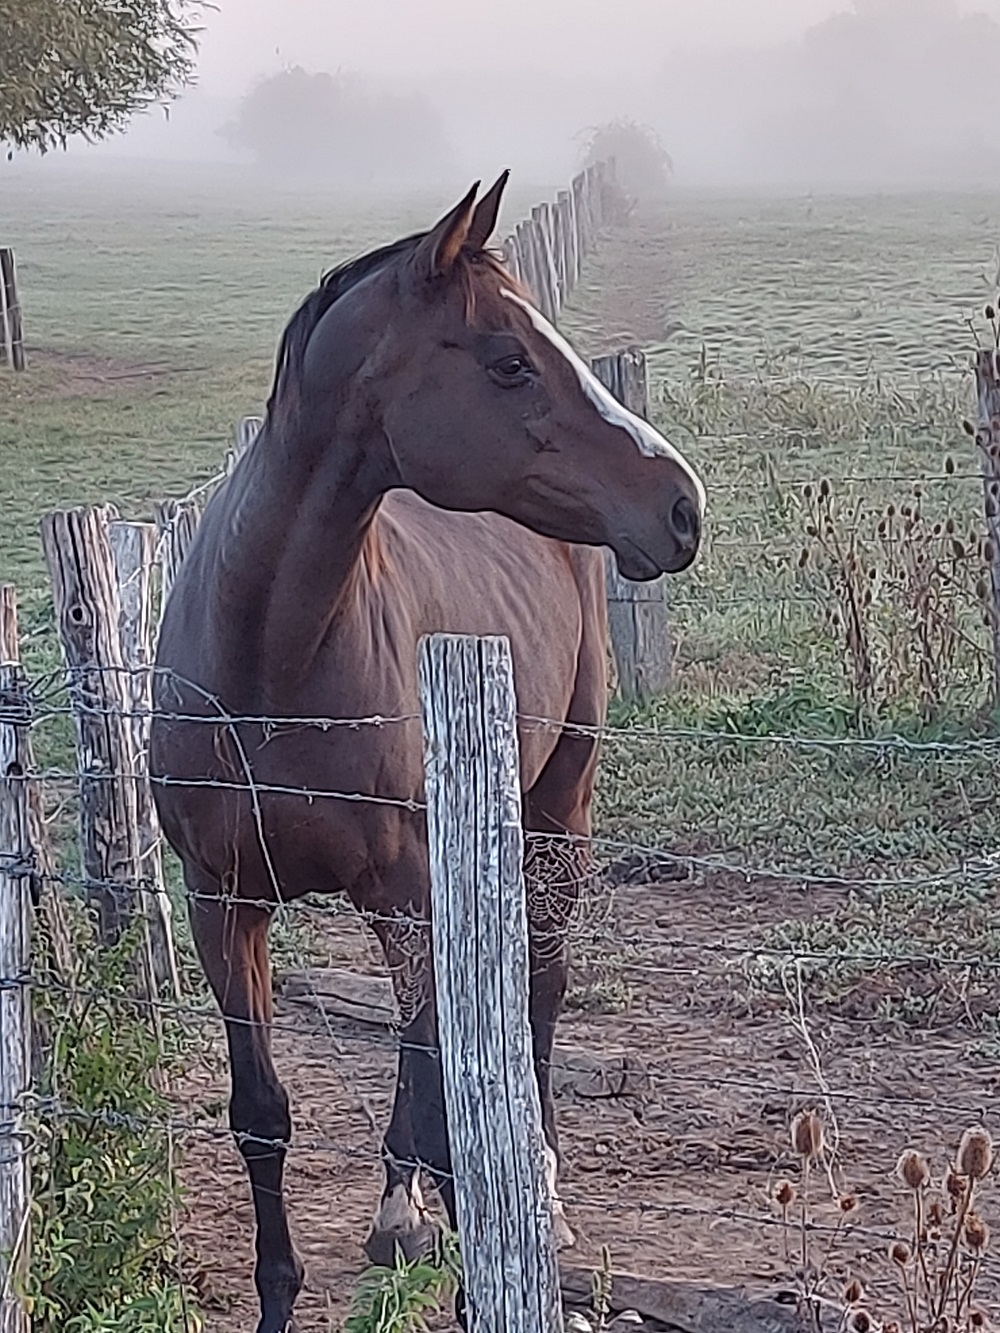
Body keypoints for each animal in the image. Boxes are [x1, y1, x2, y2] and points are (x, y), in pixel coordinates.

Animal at [149, 171, 704, 1333]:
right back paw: (399, 1206)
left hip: (558, 807)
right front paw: (282, 1297)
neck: (268, 659)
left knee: (539, 990)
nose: (681, 504)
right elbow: (262, 1111)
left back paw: (539, 1188)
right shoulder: (225, 900)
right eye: (509, 360)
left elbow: (450, 1098)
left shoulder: (403, 889)